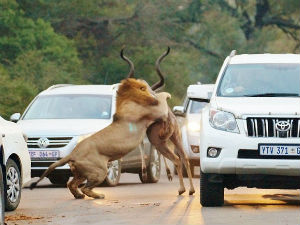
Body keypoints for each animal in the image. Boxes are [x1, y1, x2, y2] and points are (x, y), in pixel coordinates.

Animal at [30, 68, 172, 199]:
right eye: (143, 88)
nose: (153, 95)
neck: (127, 99)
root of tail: (73, 154)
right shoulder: (154, 112)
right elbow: (162, 103)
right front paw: (166, 95)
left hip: (81, 173)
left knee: (71, 184)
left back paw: (79, 195)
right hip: (100, 170)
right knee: (85, 188)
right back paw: (98, 195)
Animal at [120, 47, 196, 195]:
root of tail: (169, 119)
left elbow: (141, 145)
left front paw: (144, 173)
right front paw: (168, 174)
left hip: (159, 140)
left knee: (176, 159)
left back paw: (181, 189)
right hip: (175, 137)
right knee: (184, 158)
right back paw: (191, 190)